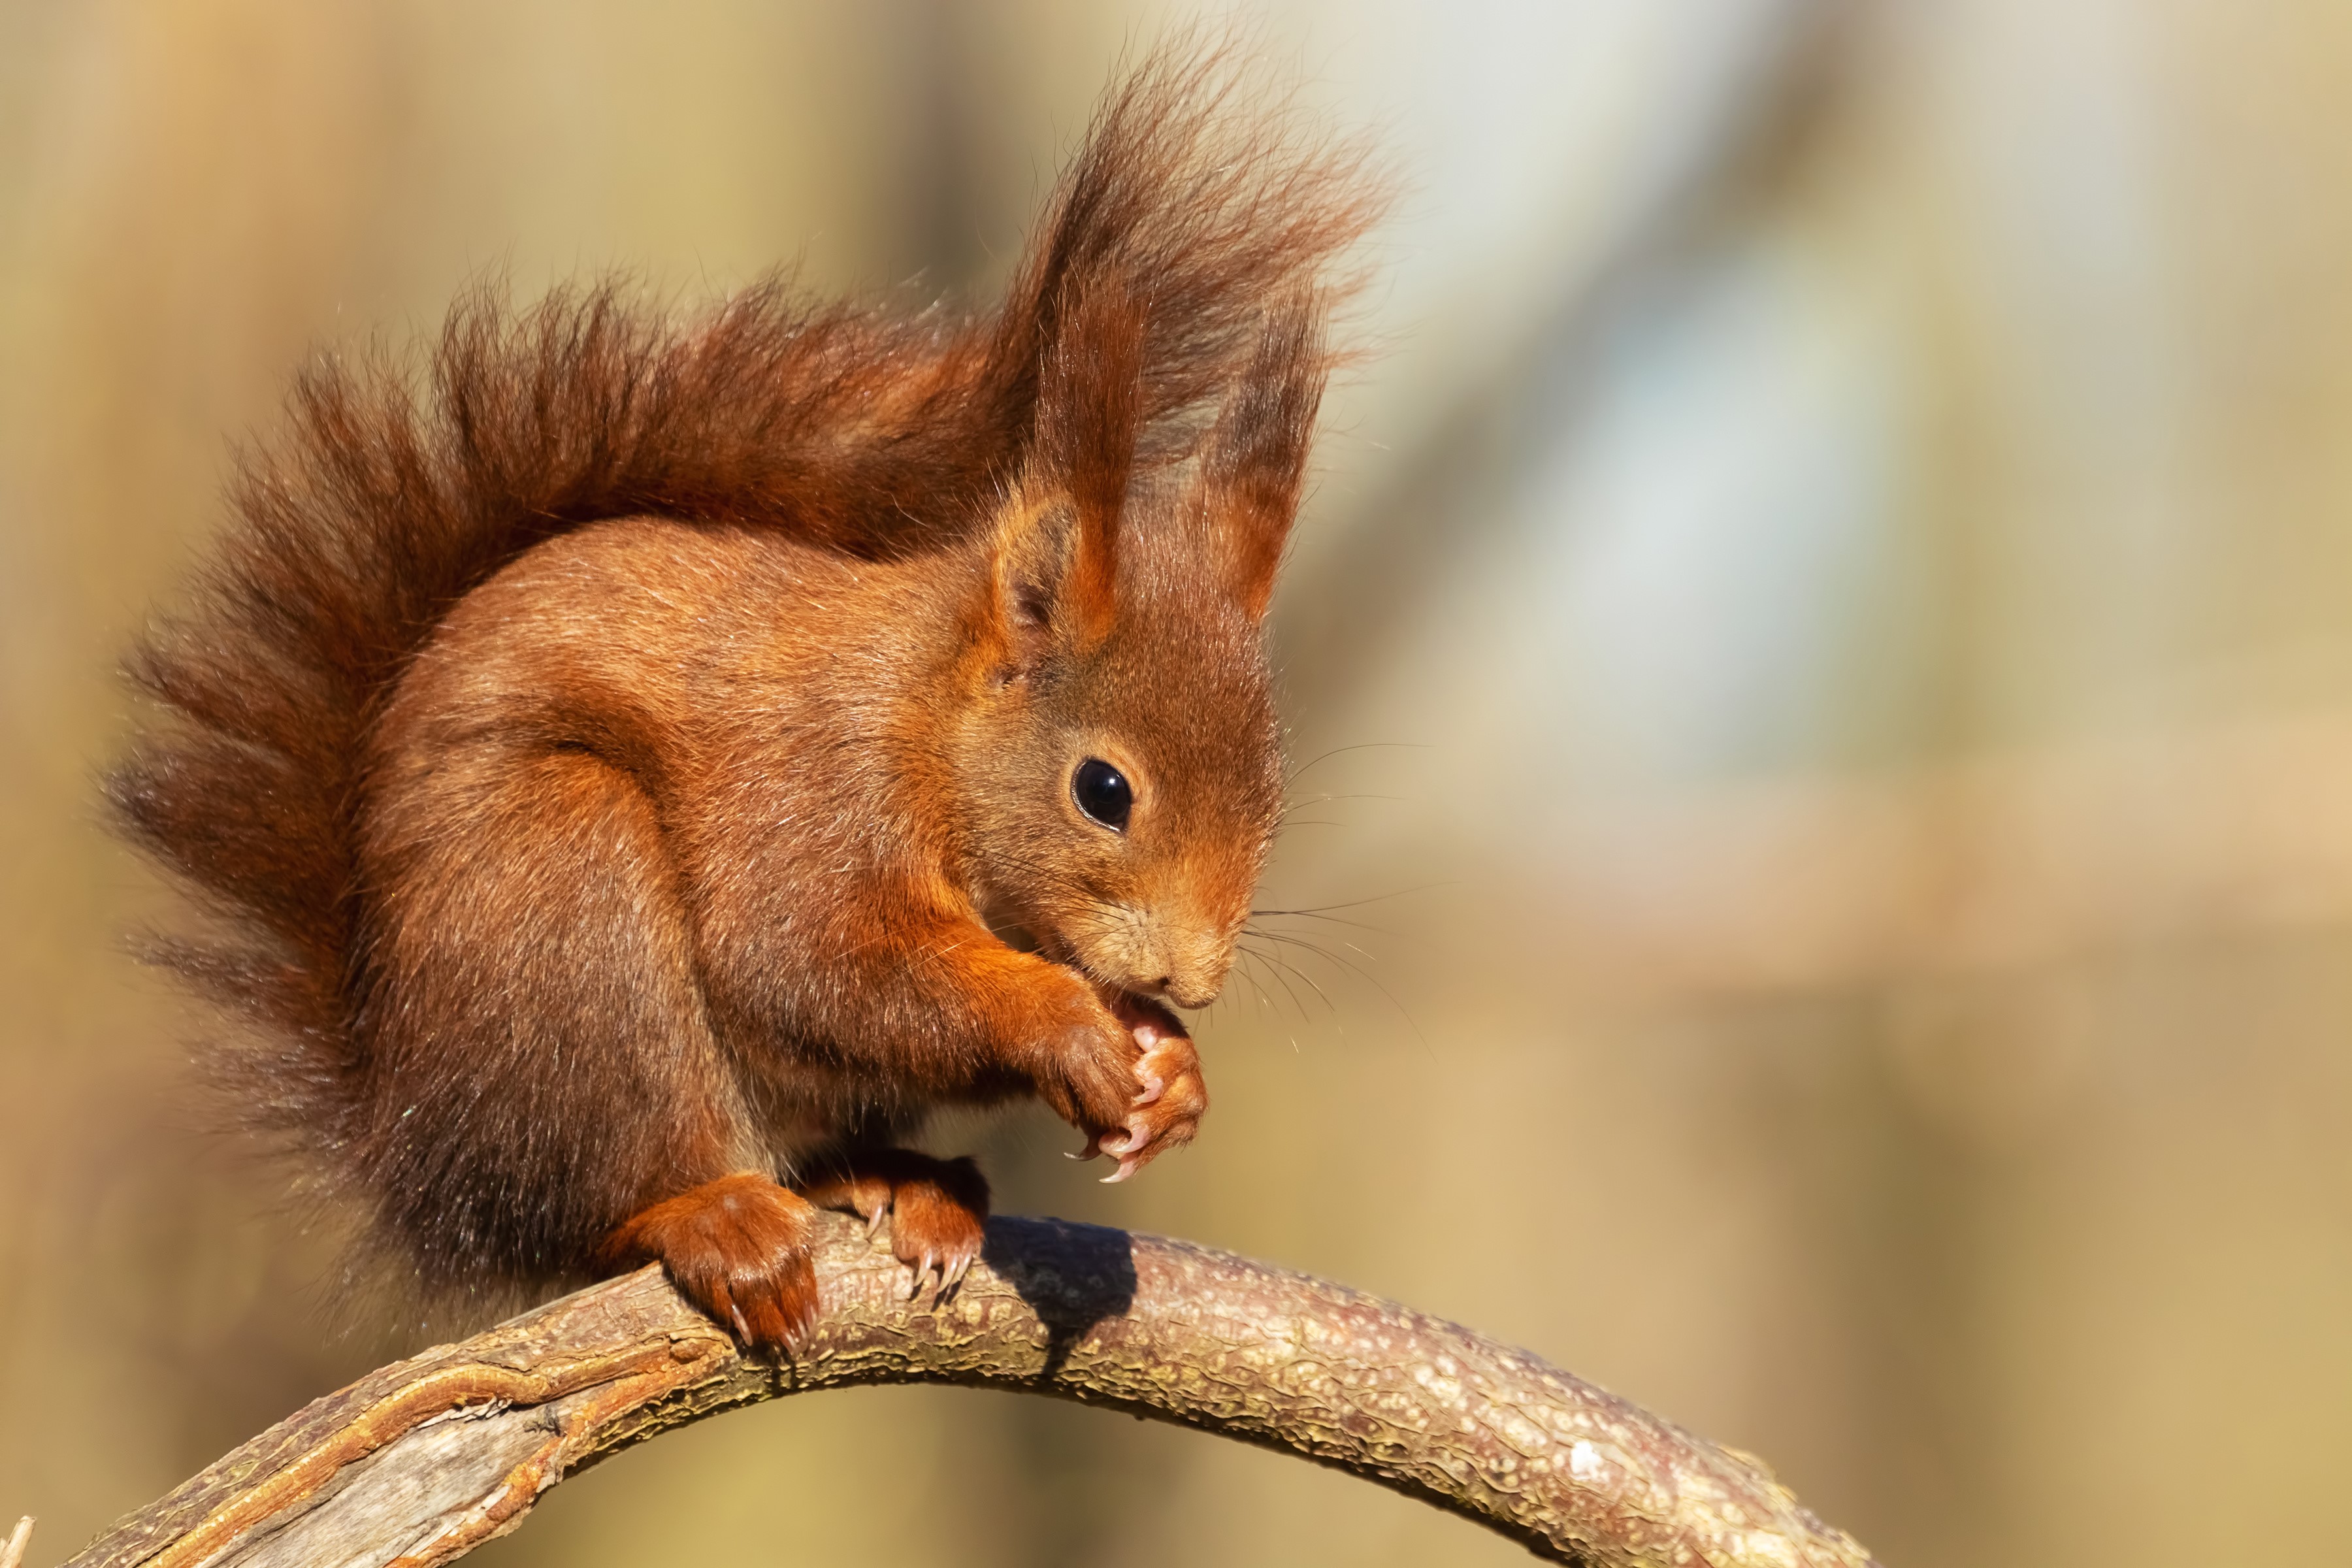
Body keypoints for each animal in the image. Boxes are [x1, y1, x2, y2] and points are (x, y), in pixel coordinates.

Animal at [106, 46, 1381, 1353]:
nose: (1192, 981)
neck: (928, 722)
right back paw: (712, 1216)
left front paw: (1172, 1072)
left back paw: (904, 1181)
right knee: (606, 1199)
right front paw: (1066, 1024)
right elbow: (812, 963)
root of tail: (416, 1148)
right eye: (1104, 789)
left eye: (1274, 791)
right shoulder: (815, 790)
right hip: (561, 900)